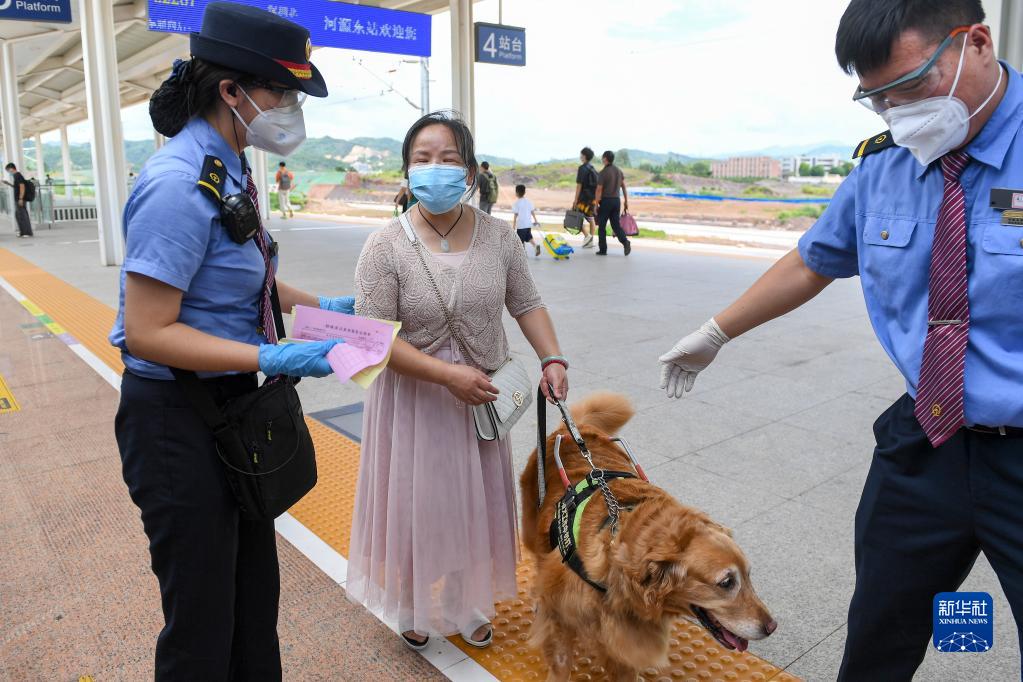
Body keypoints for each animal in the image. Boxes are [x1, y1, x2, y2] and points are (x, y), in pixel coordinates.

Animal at [520, 392, 776, 681]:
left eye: (749, 576)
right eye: (726, 582)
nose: (772, 626)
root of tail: (575, 429)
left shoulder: (627, 639)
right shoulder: (559, 618)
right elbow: (560, 659)